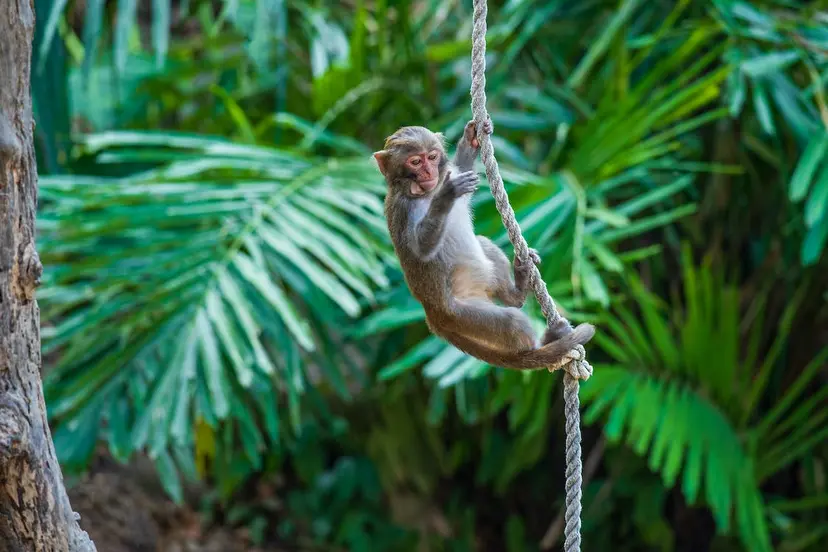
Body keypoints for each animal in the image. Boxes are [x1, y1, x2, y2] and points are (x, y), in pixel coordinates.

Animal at [373, 120, 595, 370]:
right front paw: (447, 194)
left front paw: (471, 137)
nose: (429, 172)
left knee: (484, 244)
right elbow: (421, 250)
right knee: (511, 321)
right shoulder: (403, 209)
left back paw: (517, 290)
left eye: (431, 156)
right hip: (462, 316)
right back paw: (542, 345)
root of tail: (433, 316)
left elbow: (462, 171)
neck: (423, 192)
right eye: (416, 162)